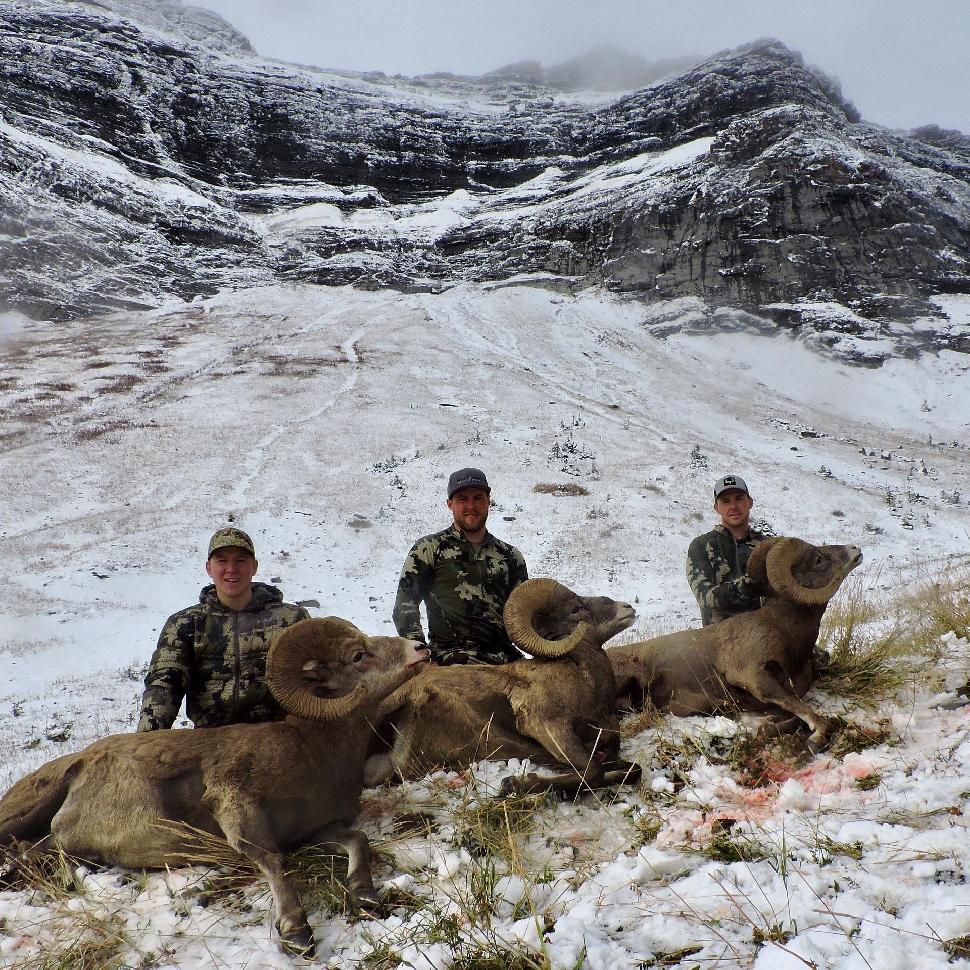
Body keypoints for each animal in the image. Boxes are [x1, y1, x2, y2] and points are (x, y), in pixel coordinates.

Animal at [608, 536, 860, 748]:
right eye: (818, 558)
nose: (855, 549)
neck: (783, 629)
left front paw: (768, 730)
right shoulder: (752, 677)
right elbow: (805, 711)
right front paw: (817, 737)